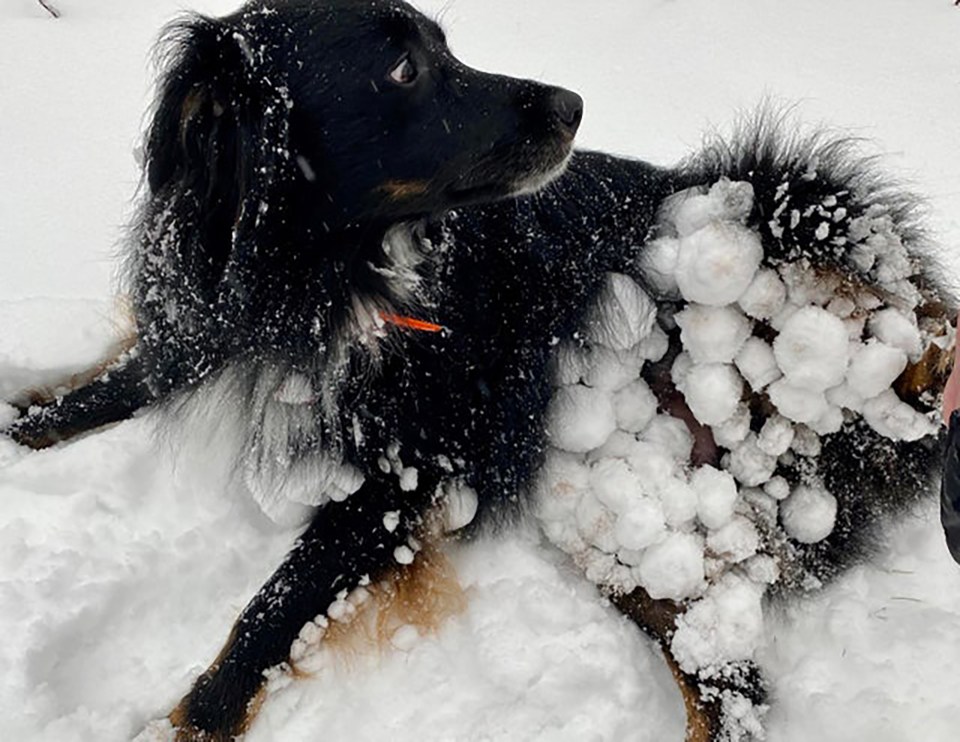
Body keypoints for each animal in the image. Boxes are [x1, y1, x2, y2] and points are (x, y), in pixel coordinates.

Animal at [3, 1, 952, 742]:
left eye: (443, 47)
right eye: (404, 68)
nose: (574, 104)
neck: (326, 277)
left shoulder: (407, 471)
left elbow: (274, 608)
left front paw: (193, 719)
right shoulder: (210, 324)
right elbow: (119, 383)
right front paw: (26, 424)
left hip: (778, 209)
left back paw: (923, 355)